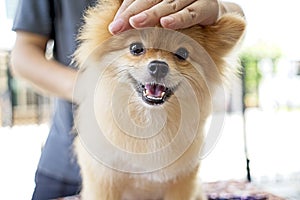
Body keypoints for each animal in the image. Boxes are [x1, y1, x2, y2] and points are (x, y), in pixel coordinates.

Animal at [73, 0, 246, 199]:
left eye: (182, 53)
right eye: (135, 49)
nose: (158, 66)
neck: (150, 118)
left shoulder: (182, 180)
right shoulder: (104, 179)